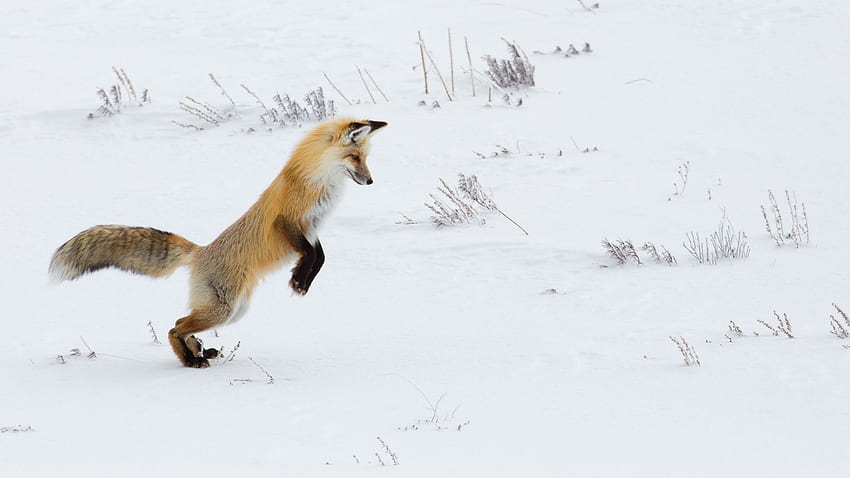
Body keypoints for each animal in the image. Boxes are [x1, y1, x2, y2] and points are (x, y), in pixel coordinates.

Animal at [49, 117, 388, 368]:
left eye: (365, 158)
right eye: (355, 157)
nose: (371, 181)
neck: (319, 181)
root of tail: (200, 252)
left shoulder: (312, 228)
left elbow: (320, 257)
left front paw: (301, 279)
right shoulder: (288, 221)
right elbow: (310, 255)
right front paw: (298, 280)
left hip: (234, 310)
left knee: (180, 321)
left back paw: (198, 351)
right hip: (223, 310)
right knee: (174, 326)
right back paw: (190, 359)